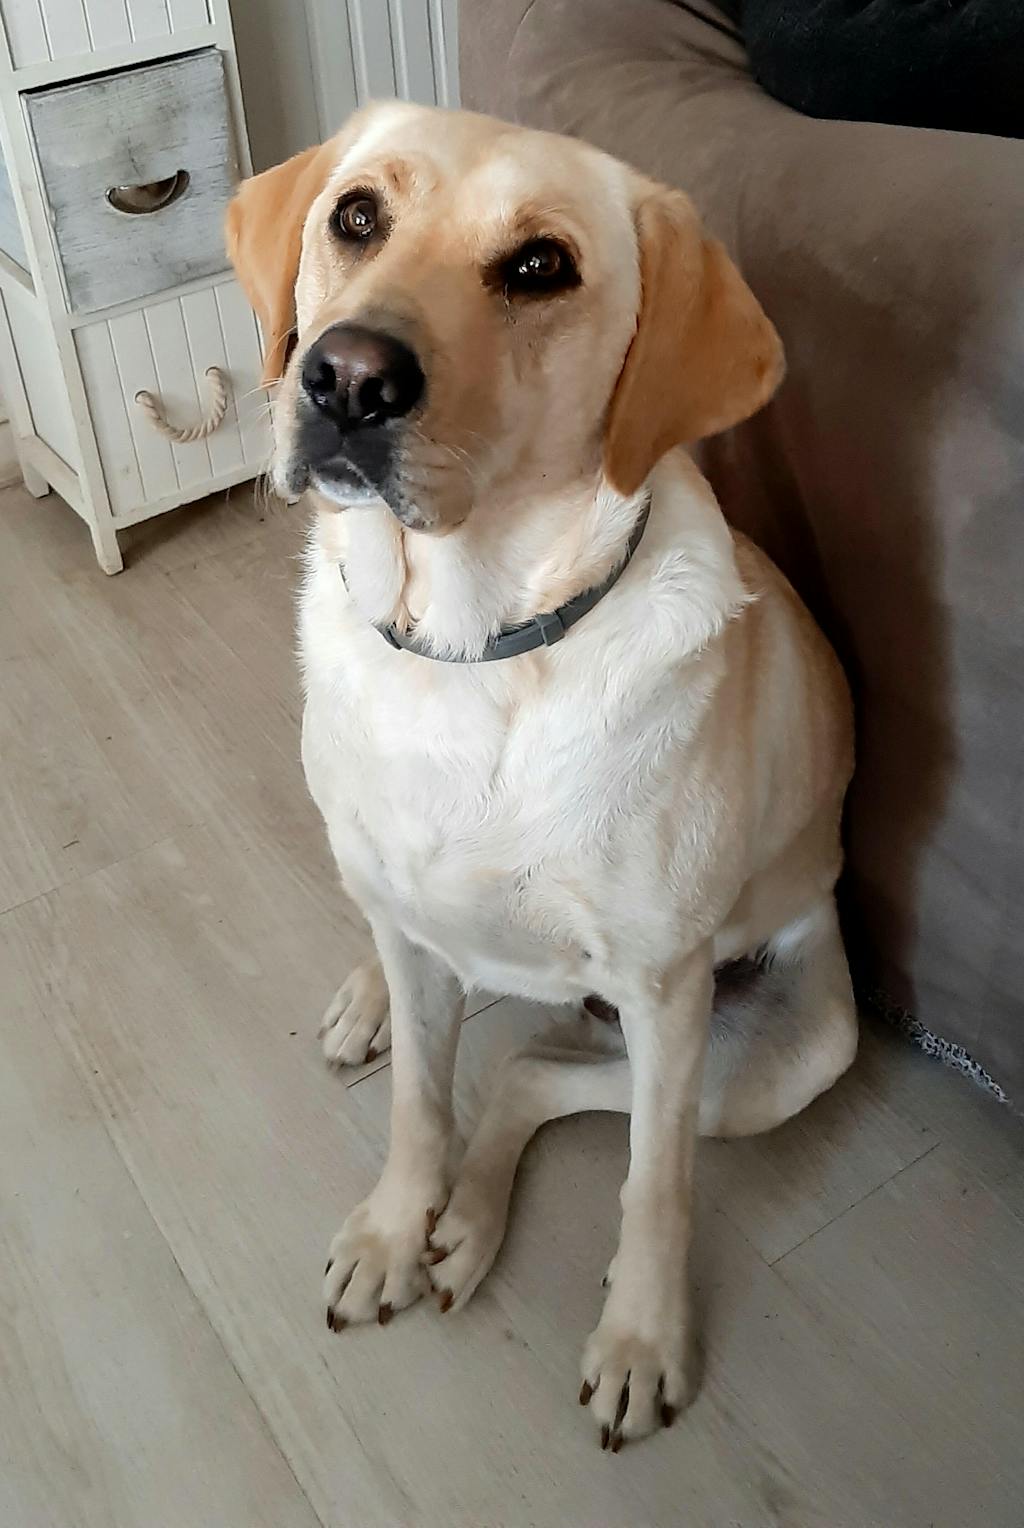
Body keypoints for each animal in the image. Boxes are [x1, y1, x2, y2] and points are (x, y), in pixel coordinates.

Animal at [226, 101, 858, 1450]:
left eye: (538, 266)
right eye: (356, 215)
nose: (344, 376)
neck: (474, 653)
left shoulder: (665, 992)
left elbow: (654, 1188)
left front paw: (641, 1338)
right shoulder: (410, 923)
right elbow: (419, 1101)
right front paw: (392, 1227)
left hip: (782, 1055)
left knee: (537, 1075)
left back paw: (472, 1223)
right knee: (461, 1008)